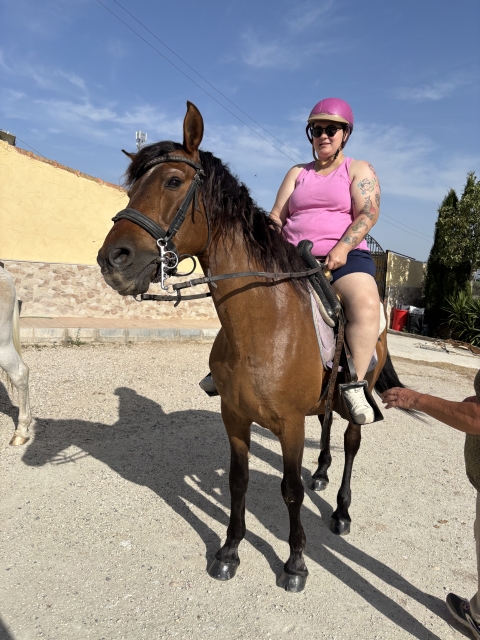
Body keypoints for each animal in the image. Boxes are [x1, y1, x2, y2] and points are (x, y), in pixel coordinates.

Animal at [97, 101, 404, 592]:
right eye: (132, 187)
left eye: (173, 181)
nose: (113, 260)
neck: (262, 329)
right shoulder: (235, 417)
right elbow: (238, 482)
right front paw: (229, 550)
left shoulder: (289, 426)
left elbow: (289, 491)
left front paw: (295, 562)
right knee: (327, 426)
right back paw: (322, 473)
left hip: (360, 390)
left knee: (351, 440)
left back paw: (340, 511)